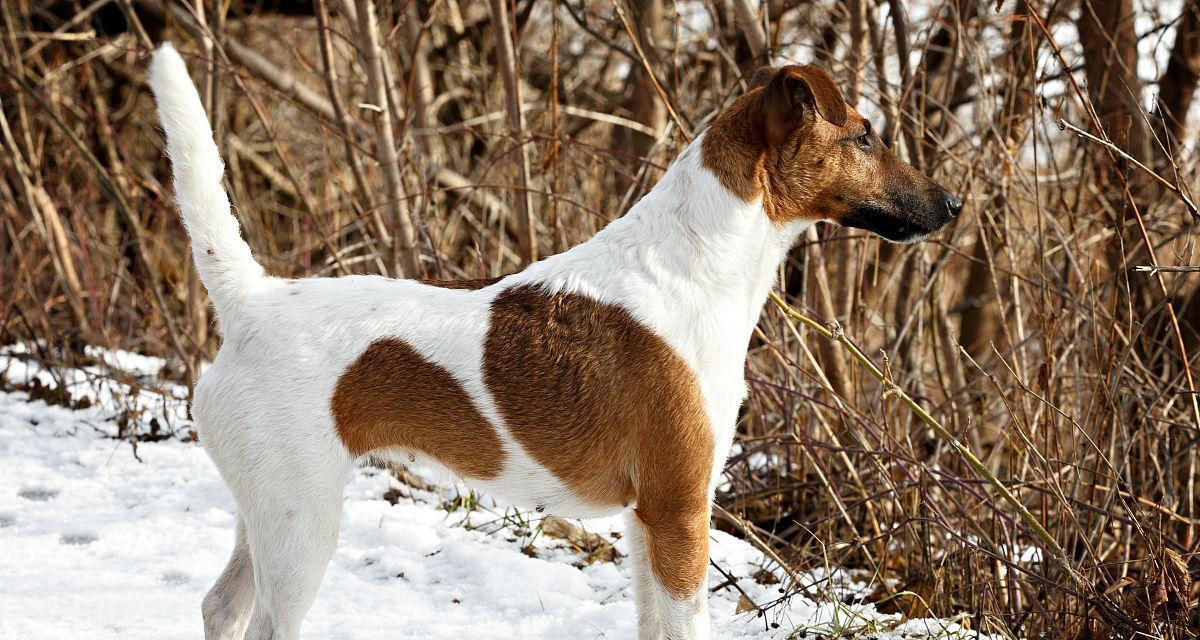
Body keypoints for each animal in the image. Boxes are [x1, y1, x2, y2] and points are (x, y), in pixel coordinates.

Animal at [150, 42, 960, 633]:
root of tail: (252, 302)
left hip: (268, 512)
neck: (696, 260)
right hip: (303, 526)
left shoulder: (646, 522)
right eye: (865, 135)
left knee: (220, 606)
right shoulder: (678, 510)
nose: (952, 203)